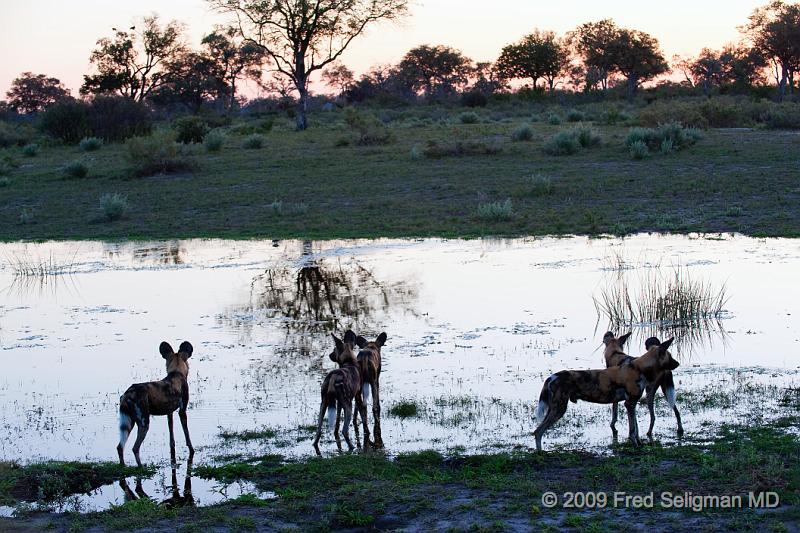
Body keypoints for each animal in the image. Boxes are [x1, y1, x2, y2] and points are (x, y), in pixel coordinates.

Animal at [536, 336, 680, 448]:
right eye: (671, 356)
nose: (678, 363)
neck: (639, 368)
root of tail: (552, 377)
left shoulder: (631, 404)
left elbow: (636, 427)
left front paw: (639, 443)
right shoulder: (629, 404)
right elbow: (633, 430)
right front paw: (636, 446)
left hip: (553, 409)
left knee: (538, 431)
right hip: (559, 409)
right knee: (538, 431)